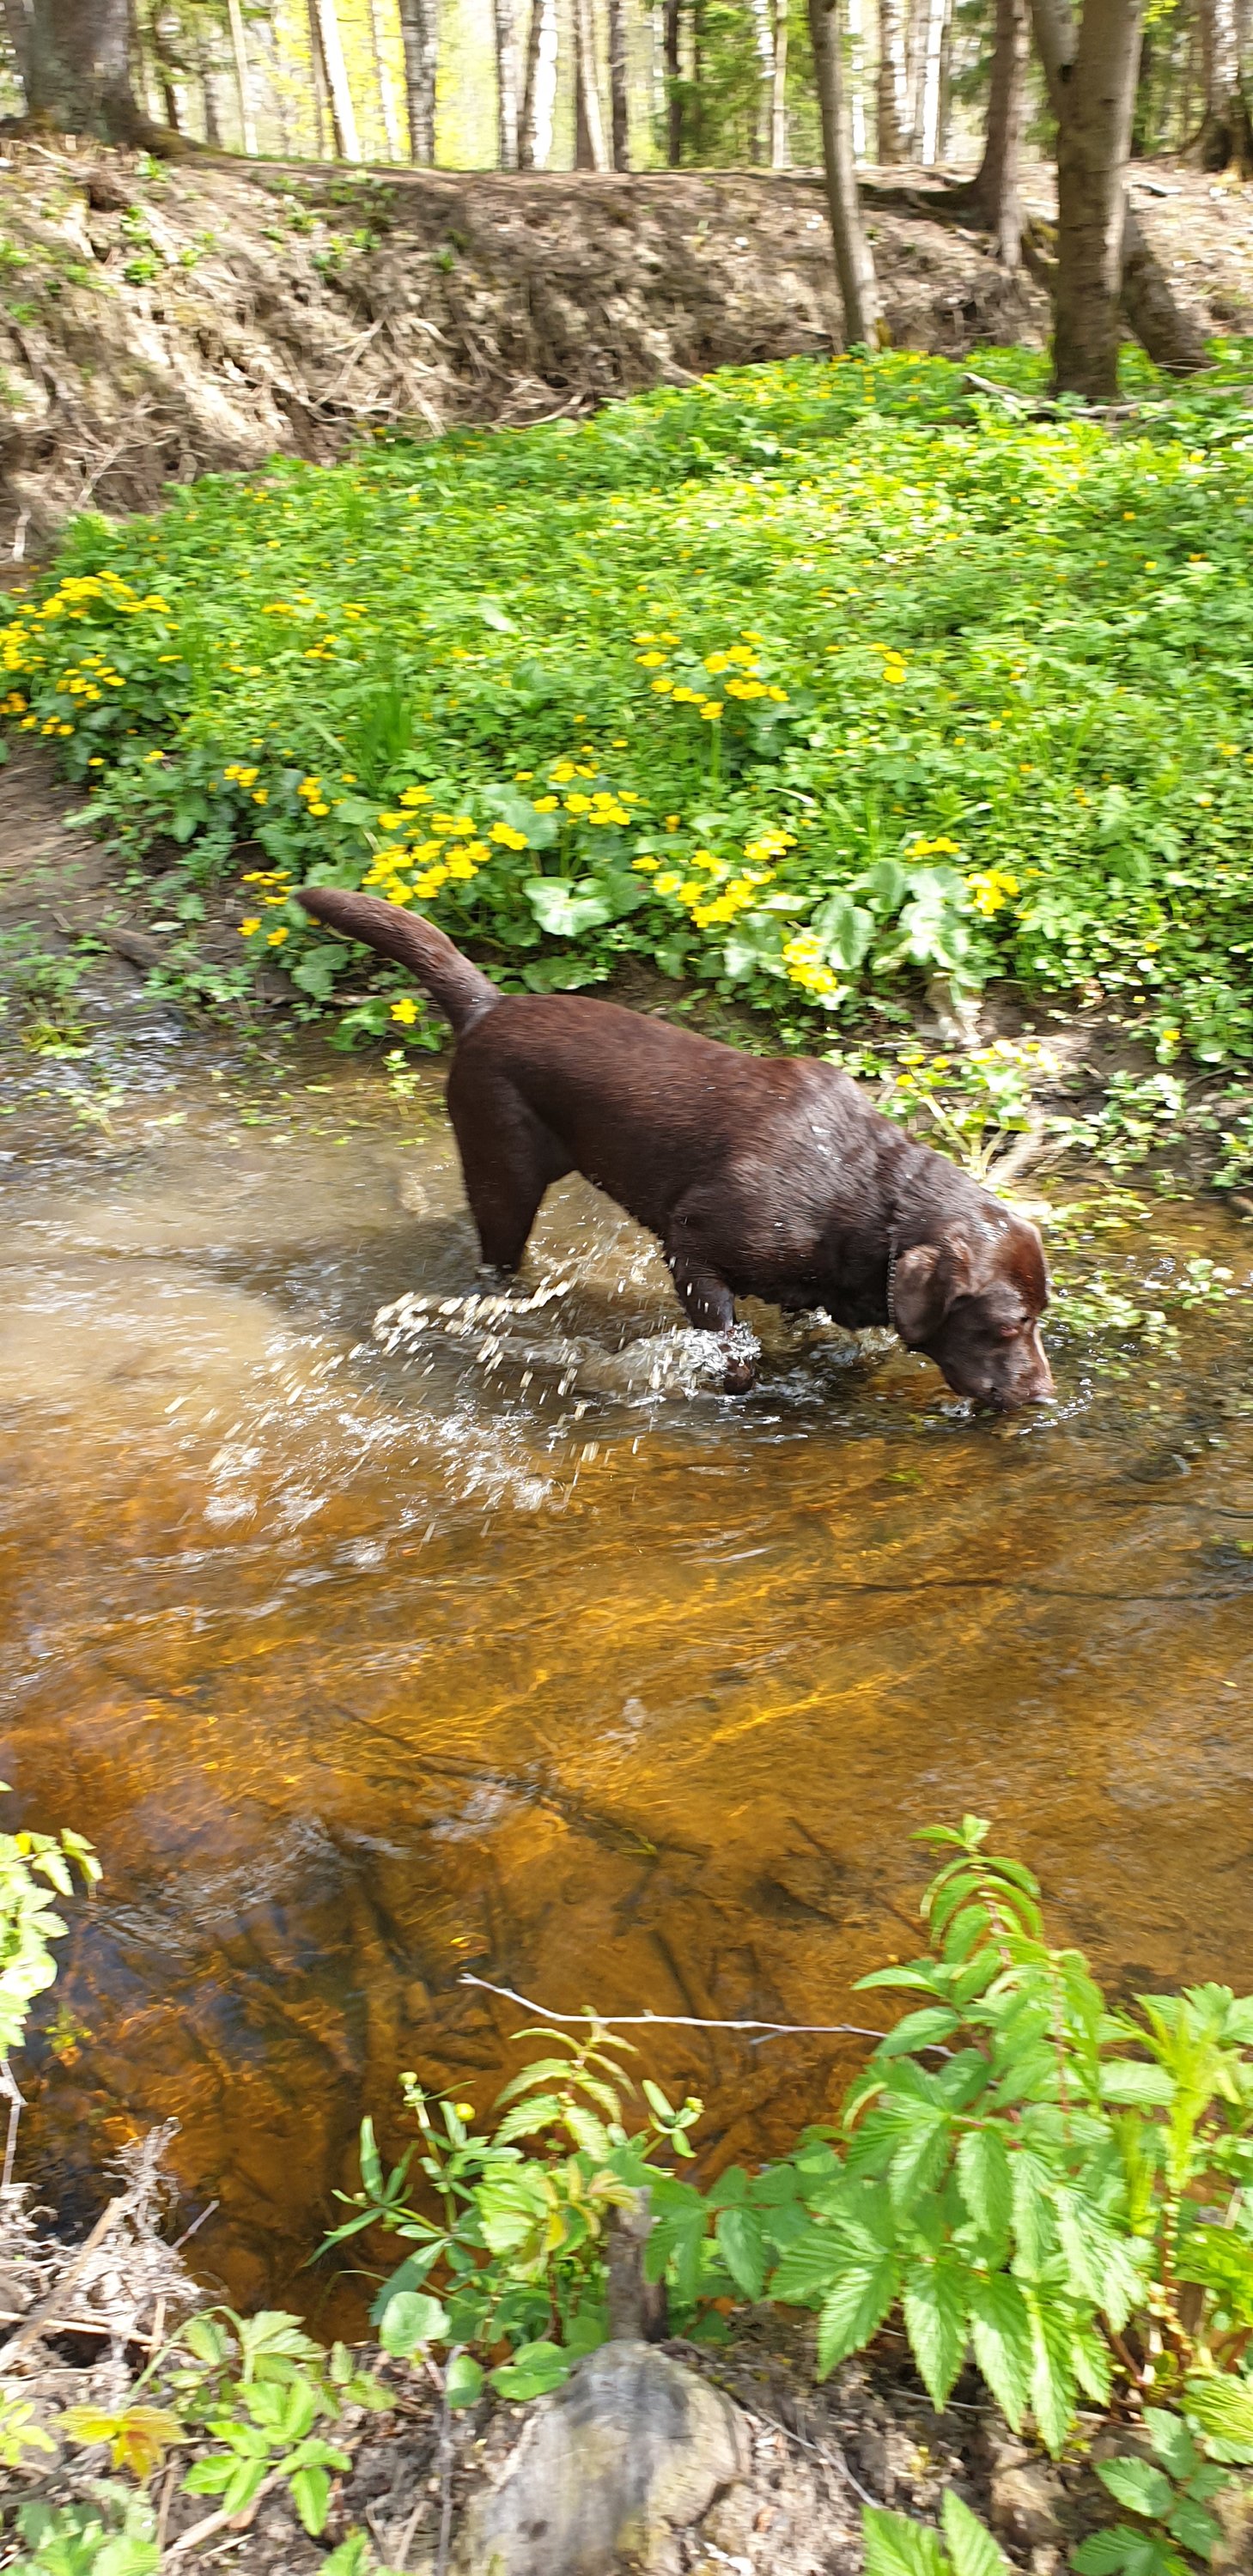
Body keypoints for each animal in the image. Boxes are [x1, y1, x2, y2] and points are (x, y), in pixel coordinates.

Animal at [298, 888, 1054, 1410]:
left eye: (1039, 1317)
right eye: (1007, 1326)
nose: (1043, 1394)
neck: (868, 1199)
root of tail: (490, 1005)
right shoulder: (692, 1247)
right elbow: (731, 1349)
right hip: (502, 1174)